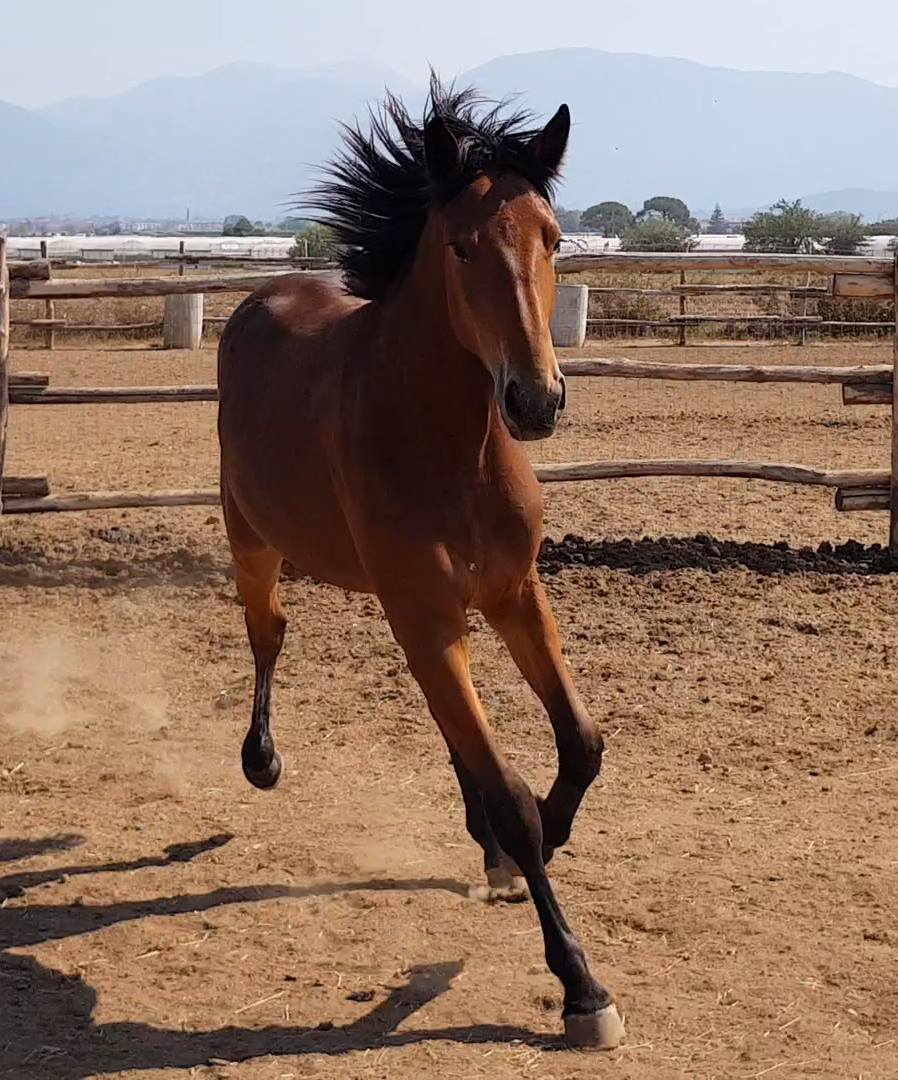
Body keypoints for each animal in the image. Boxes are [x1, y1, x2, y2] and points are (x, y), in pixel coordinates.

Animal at [217, 80, 623, 1050]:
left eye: (554, 237)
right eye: (461, 244)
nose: (535, 399)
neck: (451, 448)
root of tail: (266, 295)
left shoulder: (513, 595)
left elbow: (580, 744)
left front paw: (541, 843)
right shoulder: (431, 613)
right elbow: (512, 792)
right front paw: (582, 987)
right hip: (255, 540)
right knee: (267, 632)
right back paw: (262, 760)